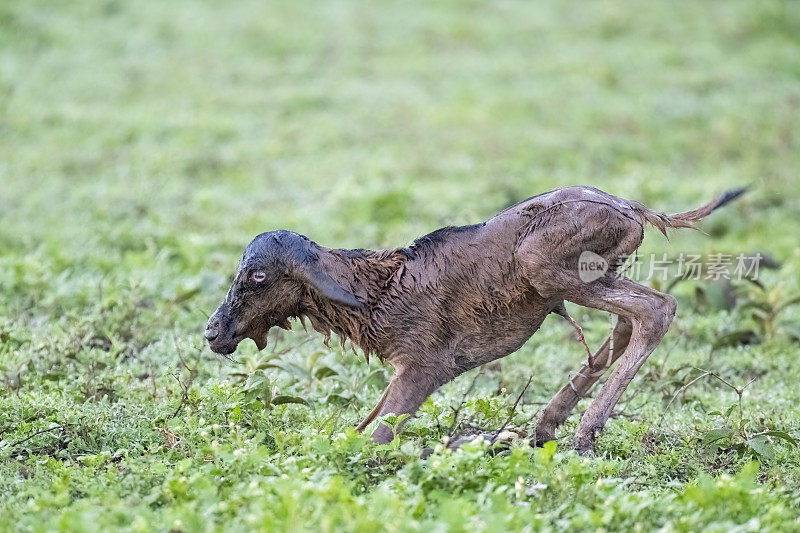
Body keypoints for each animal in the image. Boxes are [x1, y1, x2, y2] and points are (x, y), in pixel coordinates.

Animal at [205, 187, 744, 454]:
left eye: (256, 275)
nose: (214, 331)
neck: (378, 290)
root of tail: (633, 208)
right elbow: (359, 431)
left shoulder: (422, 369)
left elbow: (374, 441)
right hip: (594, 275)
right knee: (628, 322)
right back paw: (545, 427)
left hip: (547, 267)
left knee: (656, 309)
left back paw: (581, 435)